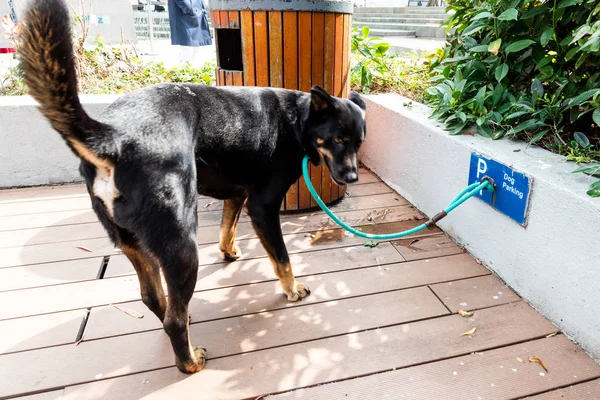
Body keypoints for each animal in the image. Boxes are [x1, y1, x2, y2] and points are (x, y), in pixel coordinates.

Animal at [17, 0, 366, 374]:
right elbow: (282, 258)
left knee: (155, 299)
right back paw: (189, 362)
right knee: (172, 316)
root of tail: (113, 138)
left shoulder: (237, 195)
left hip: (133, 242)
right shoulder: (262, 207)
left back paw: (181, 324)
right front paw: (292, 289)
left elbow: (227, 229)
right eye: (337, 139)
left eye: (359, 142)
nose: (352, 178)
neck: (299, 118)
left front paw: (229, 252)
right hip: (182, 245)